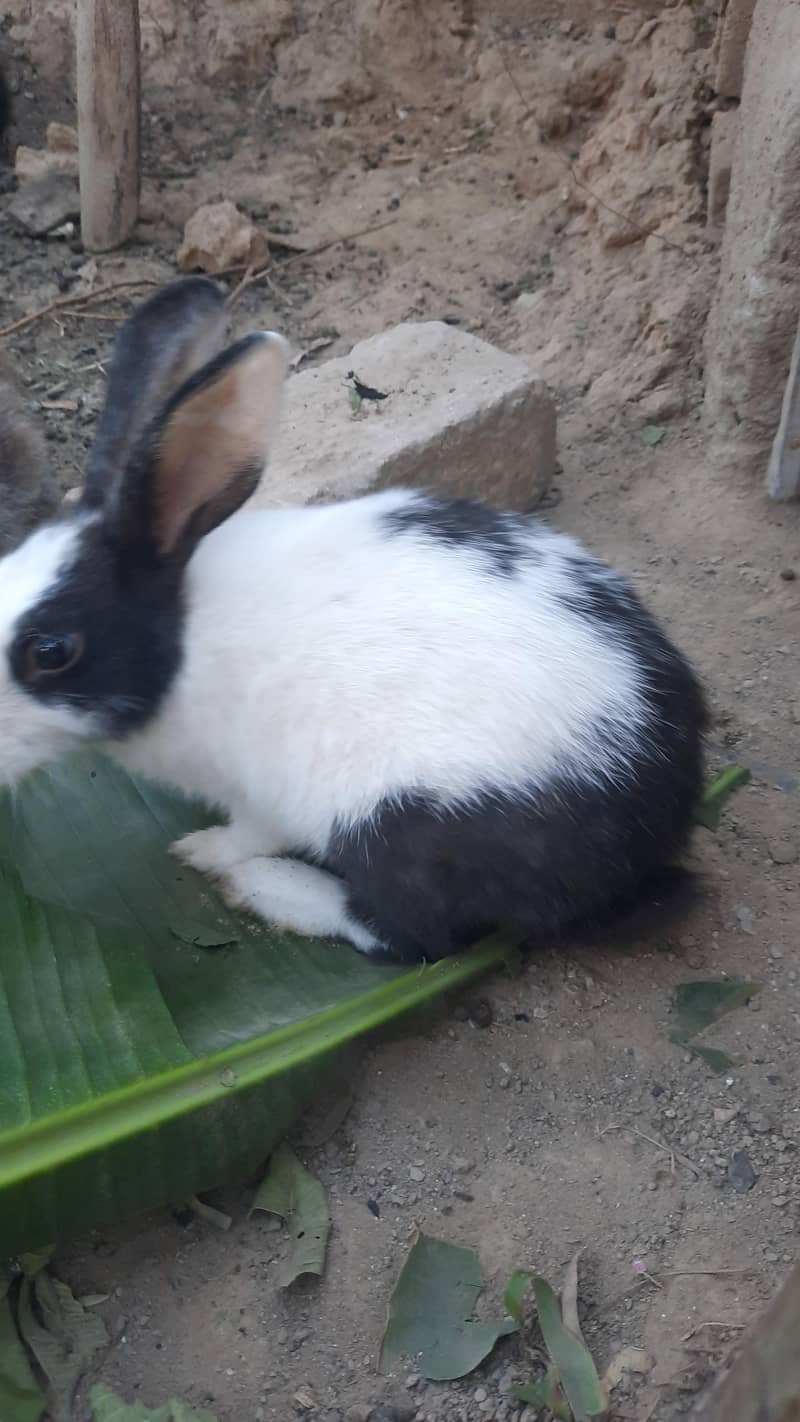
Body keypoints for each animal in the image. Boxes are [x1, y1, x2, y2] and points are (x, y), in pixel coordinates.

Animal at [0, 276, 707, 963]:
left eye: (52, 651)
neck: (179, 643)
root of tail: (658, 811)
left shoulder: (260, 793)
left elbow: (246, 834)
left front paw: (202, 853)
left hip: (395, 825)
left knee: (413, 937)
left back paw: (268, 888)